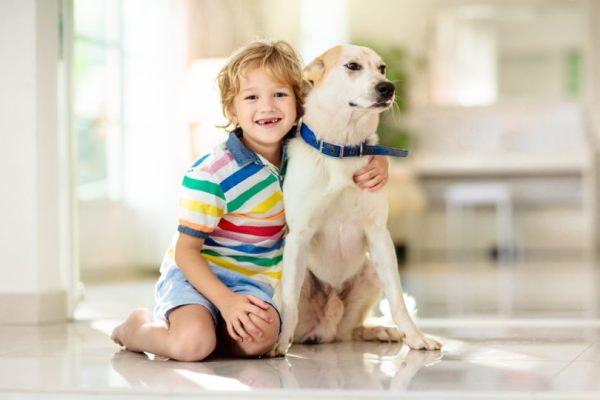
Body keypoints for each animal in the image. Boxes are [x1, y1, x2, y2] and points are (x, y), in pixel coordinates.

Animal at [270, 44, 442, 356]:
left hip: (371, 272)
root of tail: (327, 329)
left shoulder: (378, 235)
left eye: (383, 68)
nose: (387, 88)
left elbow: (397, 299)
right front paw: (279, 342)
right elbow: (288, 304)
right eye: (352, 66)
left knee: (353, 330)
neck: (342, 149)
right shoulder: (299, 236)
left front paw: (415, 337)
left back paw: (381, 331)